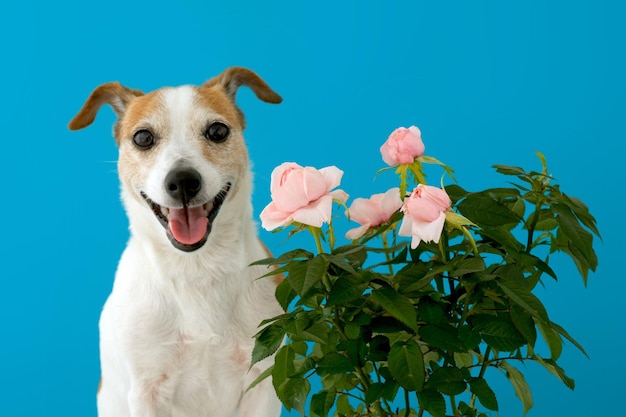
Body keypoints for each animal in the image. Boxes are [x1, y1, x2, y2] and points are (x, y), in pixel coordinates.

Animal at [68, 66, 282, 414]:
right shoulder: (146, 392)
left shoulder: (262, 381)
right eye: (143, 138)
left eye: (217, 131)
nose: (182, 181)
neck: (196, 268)